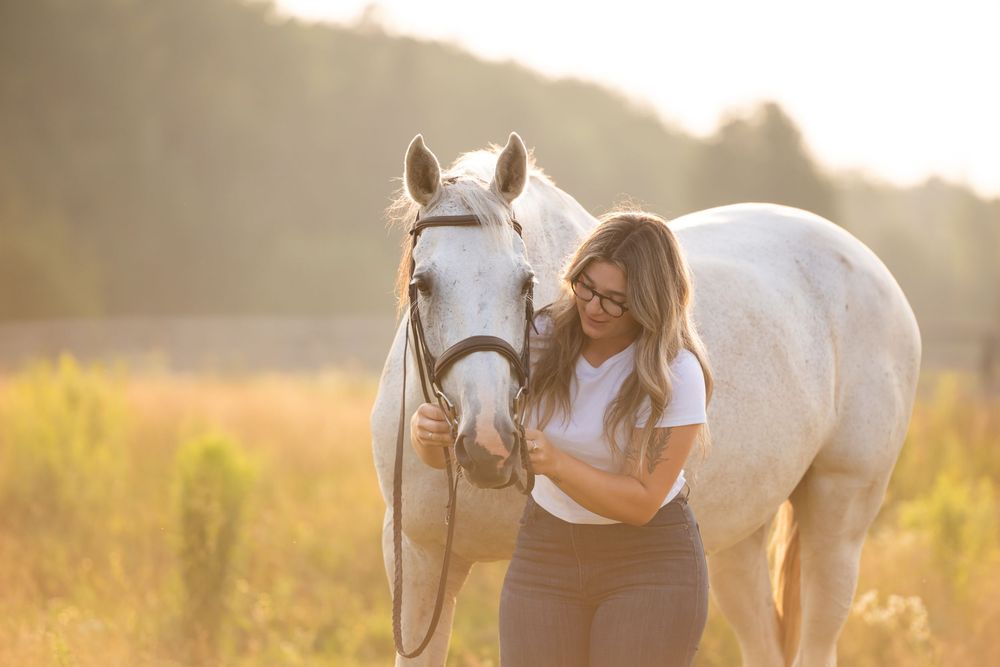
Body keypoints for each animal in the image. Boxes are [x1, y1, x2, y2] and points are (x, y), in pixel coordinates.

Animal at [369, 133, 921, 667]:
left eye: (525, 282)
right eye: (423, 284)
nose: (490, 444)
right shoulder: (420, 562)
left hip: (838, 519)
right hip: (740, 537)